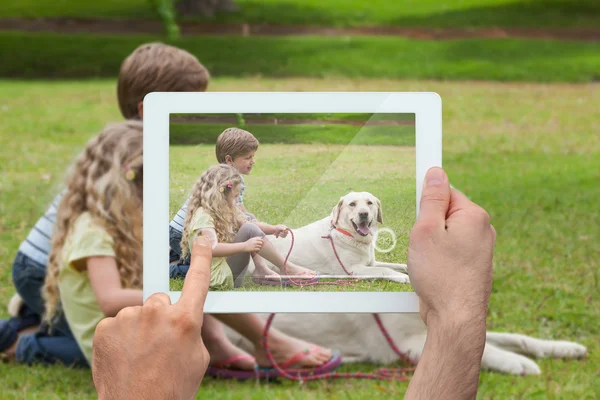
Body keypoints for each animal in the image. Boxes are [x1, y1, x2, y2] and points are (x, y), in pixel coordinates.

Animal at [270, 192, 410, 282]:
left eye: (369, 203)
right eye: (352, 204)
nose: (363, 213)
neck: (347, 233)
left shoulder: (371, 263)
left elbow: (400, 265)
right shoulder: (352, 269)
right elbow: (384, 269)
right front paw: (400, 276)